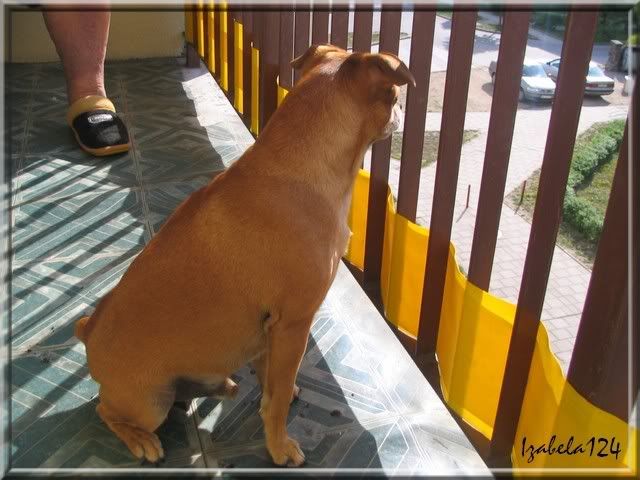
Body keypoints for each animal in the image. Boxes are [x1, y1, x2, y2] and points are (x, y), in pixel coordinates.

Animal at [75, 44, 415, 467]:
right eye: (394, 96)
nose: (402, 111)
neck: (296, 167)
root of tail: (87, 330)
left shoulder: (272, 331)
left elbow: (273, 379)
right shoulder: (293, 325)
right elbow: (278, 397)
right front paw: (279, 445)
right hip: (149, 402)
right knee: (104, 411)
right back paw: (140, 440)